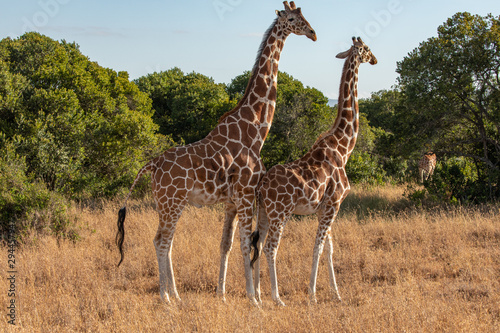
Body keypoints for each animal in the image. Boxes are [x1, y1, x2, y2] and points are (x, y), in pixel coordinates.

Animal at [115, 1, 314, 304]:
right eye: (292, 19)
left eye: (304, 15)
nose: (313, 33)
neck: (255, 129)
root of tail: (150, 165)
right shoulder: (245, 194)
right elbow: (245, 245)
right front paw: (253, 299)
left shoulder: (231, 202)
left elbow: (226, 244)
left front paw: (222, 293)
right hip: (172, 202)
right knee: (161, 241)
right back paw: (166, 298)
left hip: (167, 203)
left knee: (165, 242)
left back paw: (176, 295)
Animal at [248, 37, 376, 306]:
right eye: (367, 49)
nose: (375, 59)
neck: (343, 147)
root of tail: (261, 186)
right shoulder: (333, 204)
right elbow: (317, 247)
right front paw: (313, 295)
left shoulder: (324, 208)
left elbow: (329, 248)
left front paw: (336, 294)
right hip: (281, 213)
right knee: (270, 247)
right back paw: (277, 297)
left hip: (263, 211)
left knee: (258, 243)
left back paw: (260, 296)